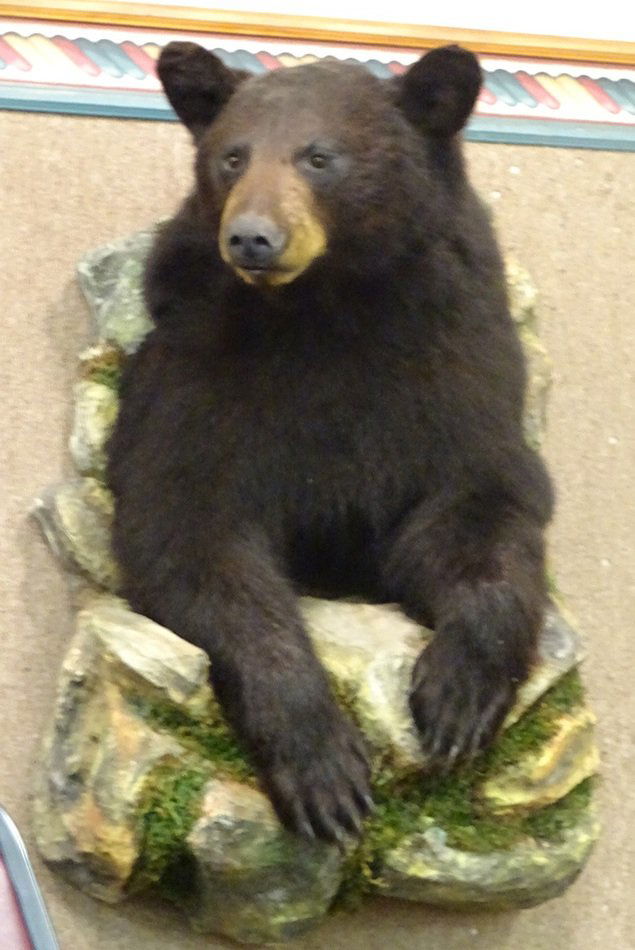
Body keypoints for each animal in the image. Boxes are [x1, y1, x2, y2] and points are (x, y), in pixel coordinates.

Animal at [106, 41, 553, 844]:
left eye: (320, 157)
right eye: (232, 156)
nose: (252, 237)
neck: (326, 312)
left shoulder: (453, 373)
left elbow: (477, 514)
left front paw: (458, 699)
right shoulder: (201, 373)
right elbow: (189, 532)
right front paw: (326, 773)